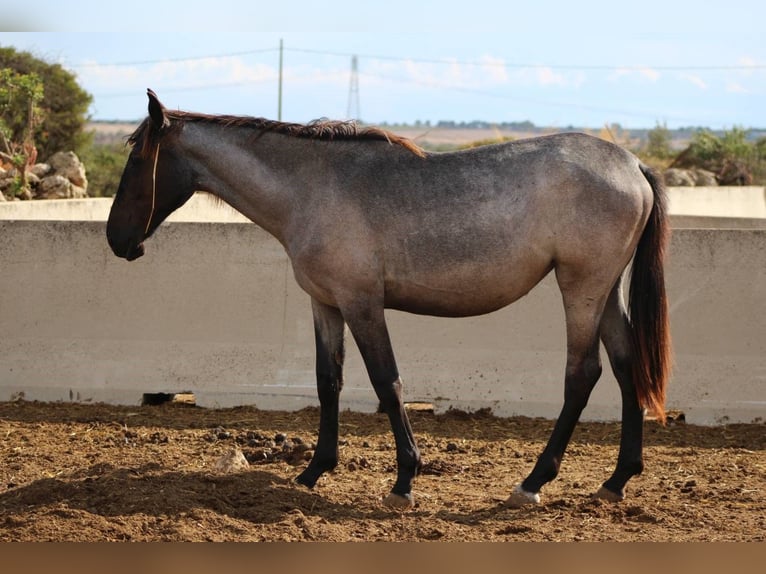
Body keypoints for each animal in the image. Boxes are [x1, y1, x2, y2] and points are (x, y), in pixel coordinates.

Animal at [106, 88, 672, 510]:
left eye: (137, 158)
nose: (116, 239)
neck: (312, 189)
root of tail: (633, 165)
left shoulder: (362, 305)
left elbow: (387, 381)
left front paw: (404, 482)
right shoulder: (326, 304)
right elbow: (328, 381)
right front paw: (313, 470)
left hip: (581, 288)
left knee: (583, 374)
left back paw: (532, 482)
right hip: (604, 294)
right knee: (626, 365)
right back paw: (616, 480)